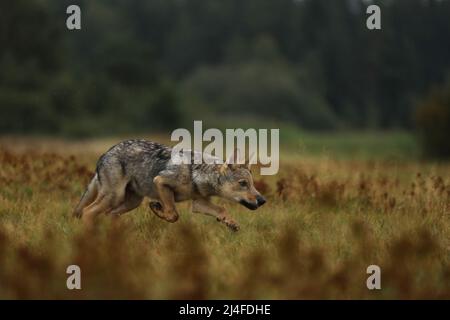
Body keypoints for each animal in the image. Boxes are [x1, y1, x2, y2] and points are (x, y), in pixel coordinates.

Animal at [72, 139, 266, 231]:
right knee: (88, 212)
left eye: (253, 185)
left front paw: (231, 223)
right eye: (243, 184)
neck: (197, 171)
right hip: (115, 197)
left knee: (108, 214)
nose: (263, 200)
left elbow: (222, 210)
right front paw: (157, 209)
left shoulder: (198, 203)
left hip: (131, 202)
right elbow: (173, 214)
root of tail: (105, 154)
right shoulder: (160, 182)